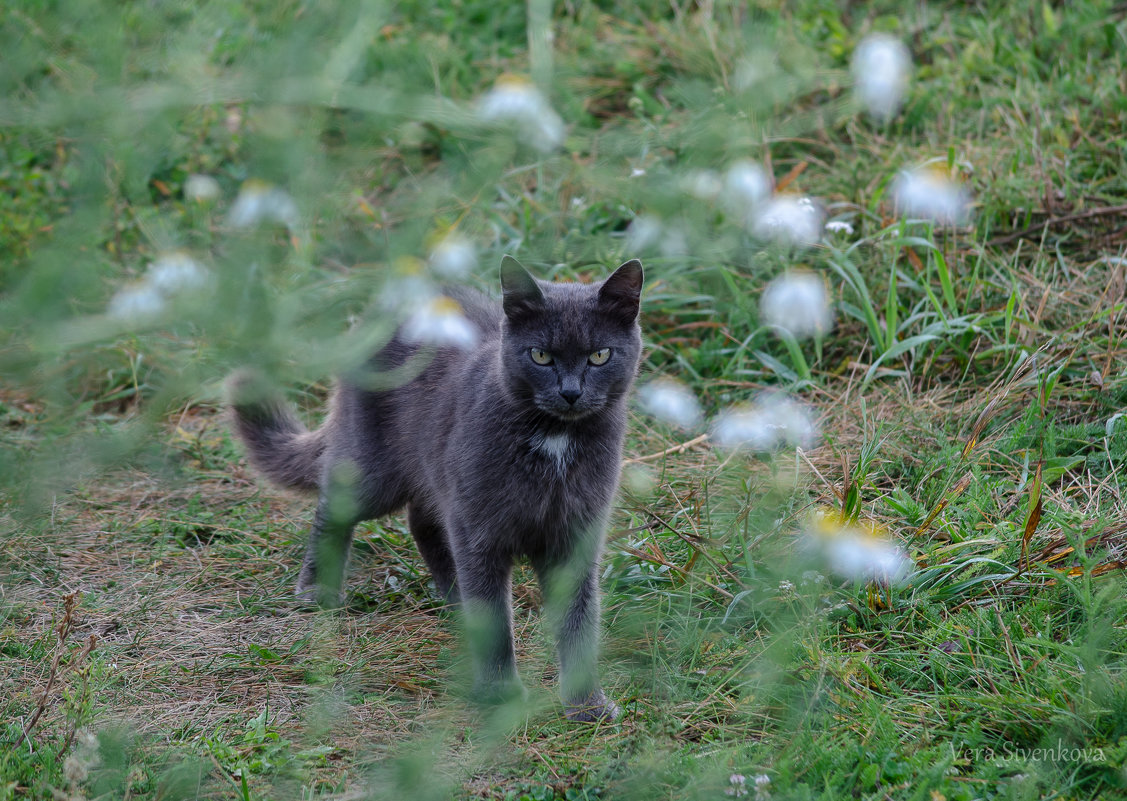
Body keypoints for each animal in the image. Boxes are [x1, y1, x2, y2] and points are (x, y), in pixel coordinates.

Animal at [228, 256, 644, 721]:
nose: (570, 392)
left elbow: (579, 618)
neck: (556, 439)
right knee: (335, 504)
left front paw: (586, 704)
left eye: (599, 355)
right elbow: (494, 615)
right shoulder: (479, 528)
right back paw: (317, 590)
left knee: (423, 523)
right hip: (376, 468)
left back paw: (455, 602)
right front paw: (500, 693)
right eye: (540, 355)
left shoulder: (576, 533)